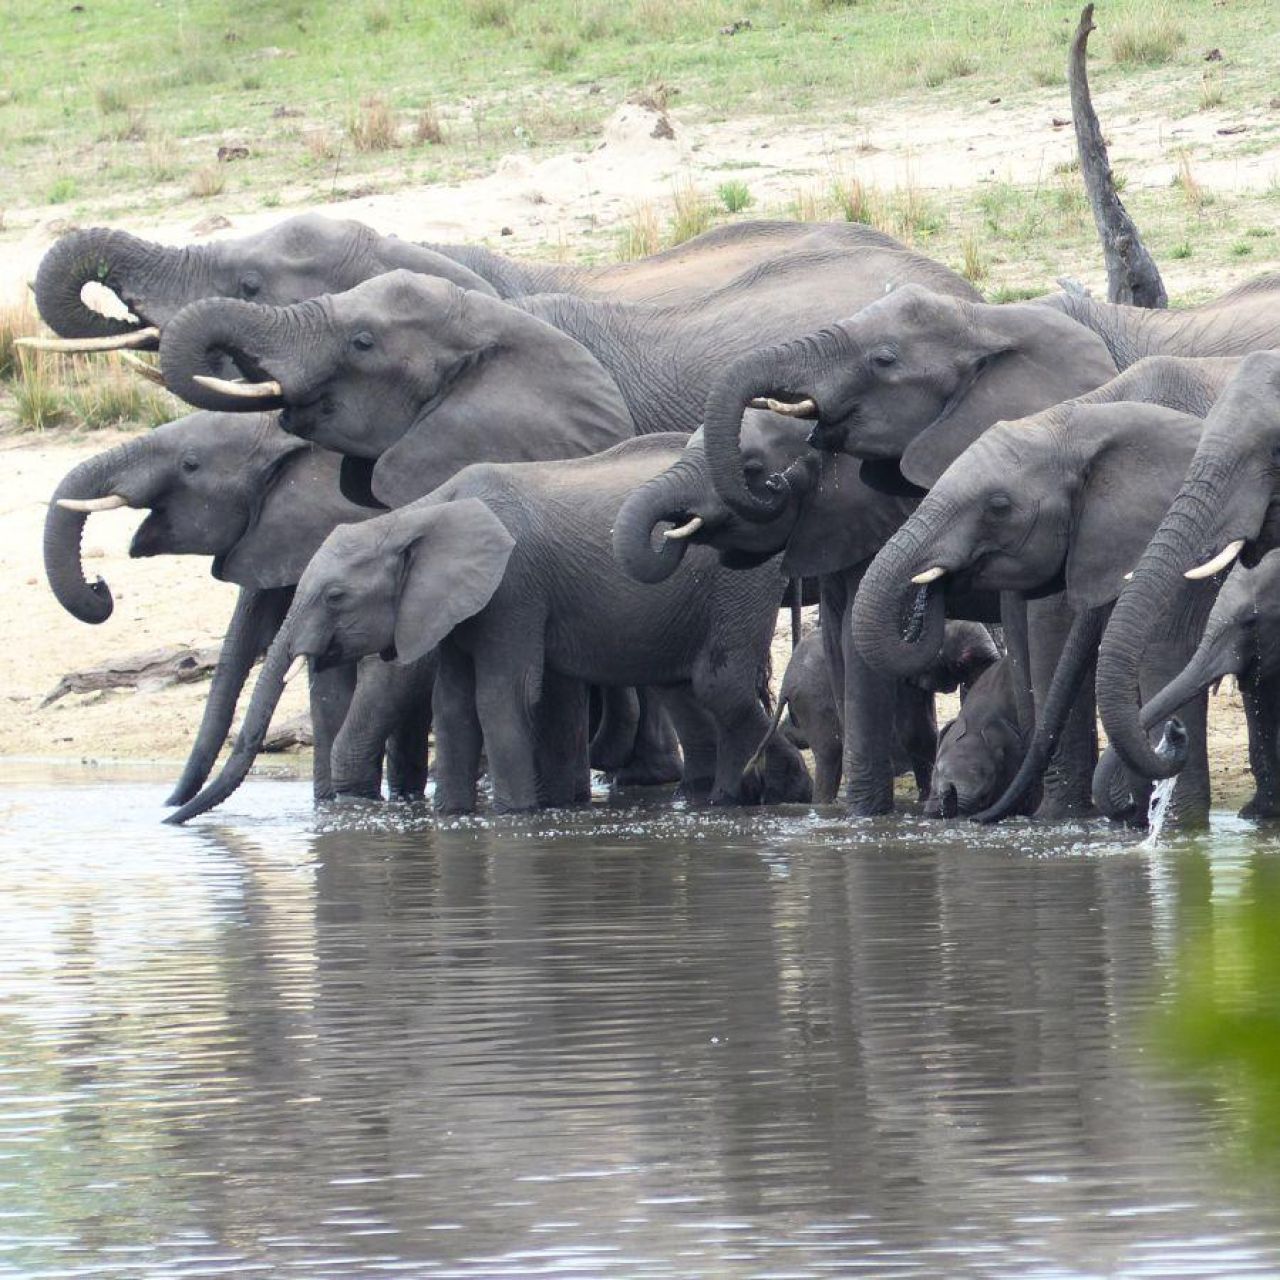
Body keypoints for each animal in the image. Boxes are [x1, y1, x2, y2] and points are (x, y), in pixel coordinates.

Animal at [169, 434, 812, 823]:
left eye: (335, 597)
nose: (168, 816)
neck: (418, 514)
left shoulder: (513, 585)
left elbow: (503, 696)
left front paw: (512, 817)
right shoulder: (454, 604)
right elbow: (454, 704)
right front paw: (453, 817)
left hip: (739, 577)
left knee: (719, 683)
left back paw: (779, 795)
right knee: (693, 688)